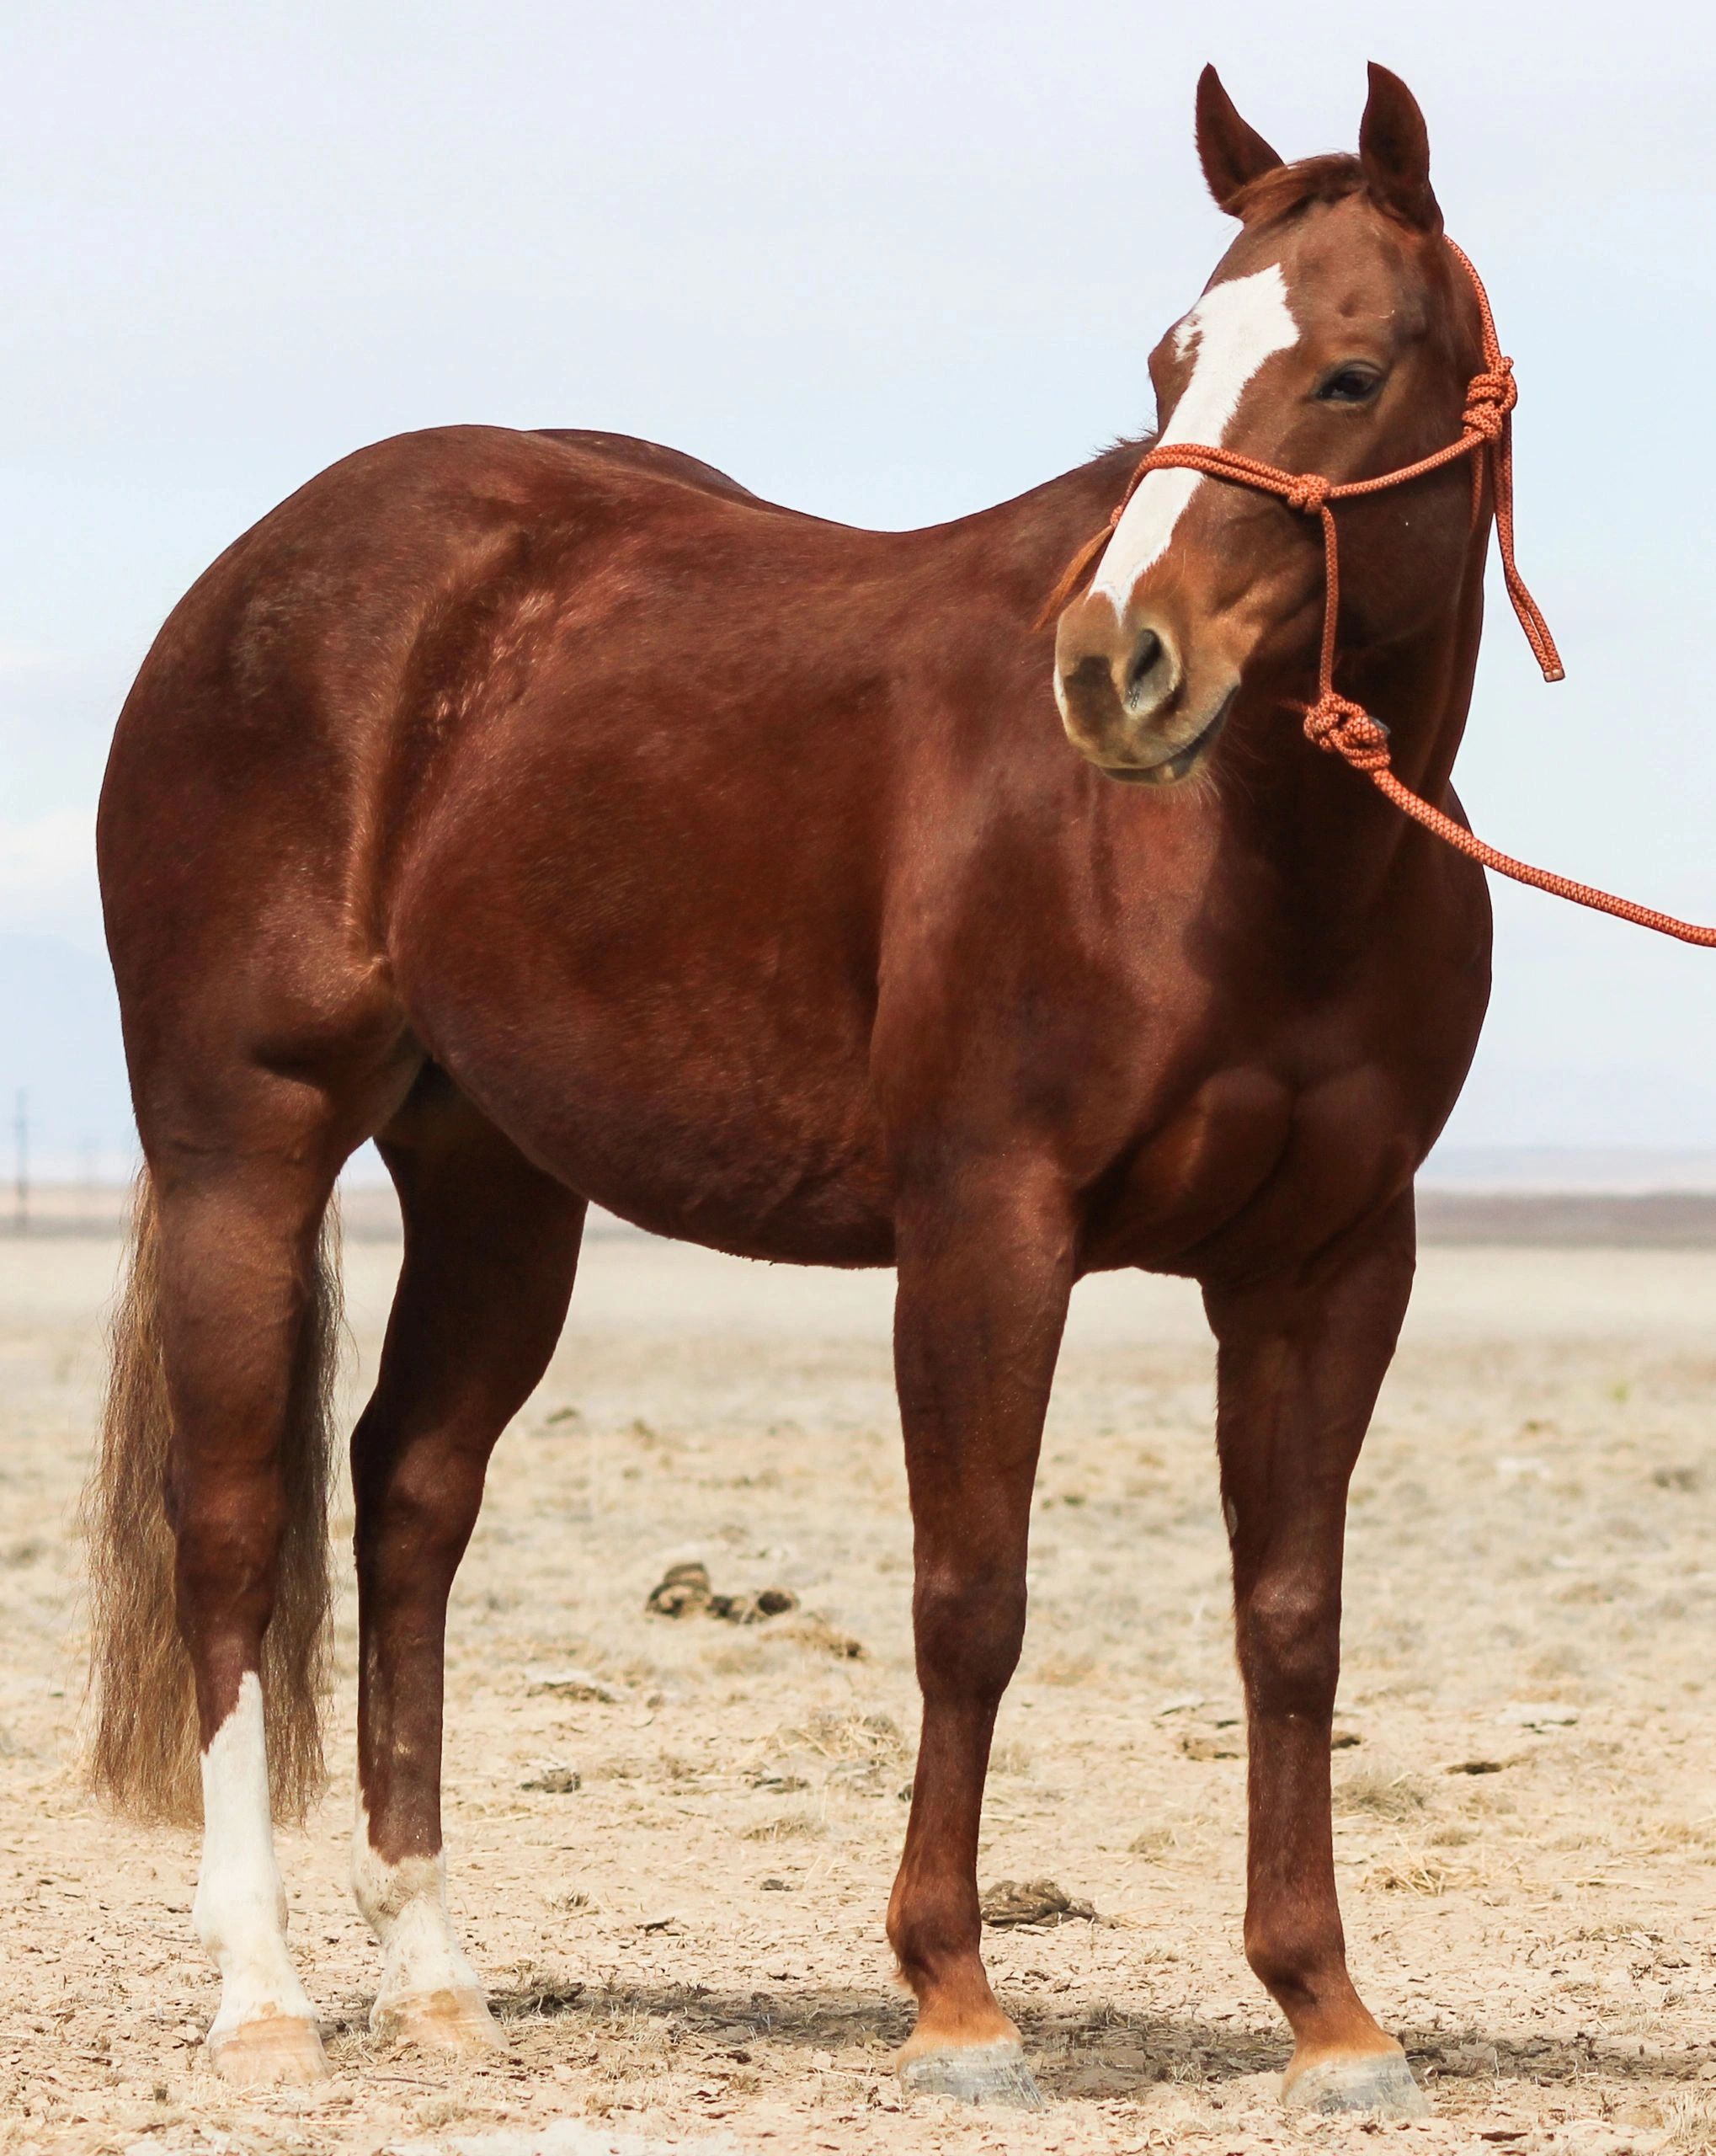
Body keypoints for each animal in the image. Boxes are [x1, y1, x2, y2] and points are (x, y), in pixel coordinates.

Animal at [87, 60, 1503, 2119]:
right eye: (1171, 360)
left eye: (1348, 371)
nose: (1113, 665)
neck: (1245, 861)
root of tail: (262, 575)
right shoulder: (986, 1226)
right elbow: (969, 1597)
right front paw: (956, 2000)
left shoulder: (1328, 1262)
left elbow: (1290, 1624)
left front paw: (1326, 2012)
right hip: (241, 1147)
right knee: (231, 1518)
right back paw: (262, 1995)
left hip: (494, 1184)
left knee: (408, 1496)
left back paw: (432, 1979)